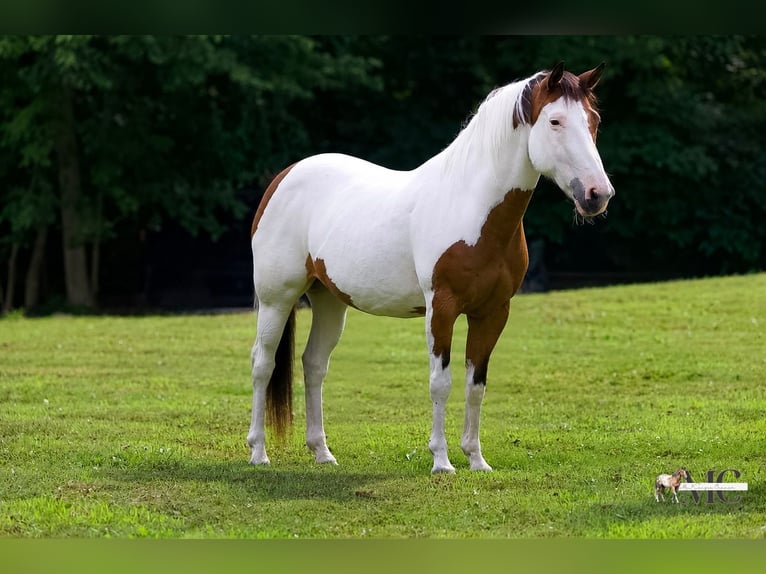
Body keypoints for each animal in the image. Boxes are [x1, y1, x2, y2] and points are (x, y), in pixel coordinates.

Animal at [247, 61, 615, 474]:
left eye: (594, 120)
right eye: (554, 121)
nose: (598, 194)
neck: (472, 207)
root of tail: (284, 177)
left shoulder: (492, 312)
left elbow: (476, 384)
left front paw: (476, 459)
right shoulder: (442, 307)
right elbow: (441, 382)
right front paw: (441, 460)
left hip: (328, 300)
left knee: (313, 365)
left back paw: (322, 452)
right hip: (277, 299)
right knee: (263, 364)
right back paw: (258, 452)